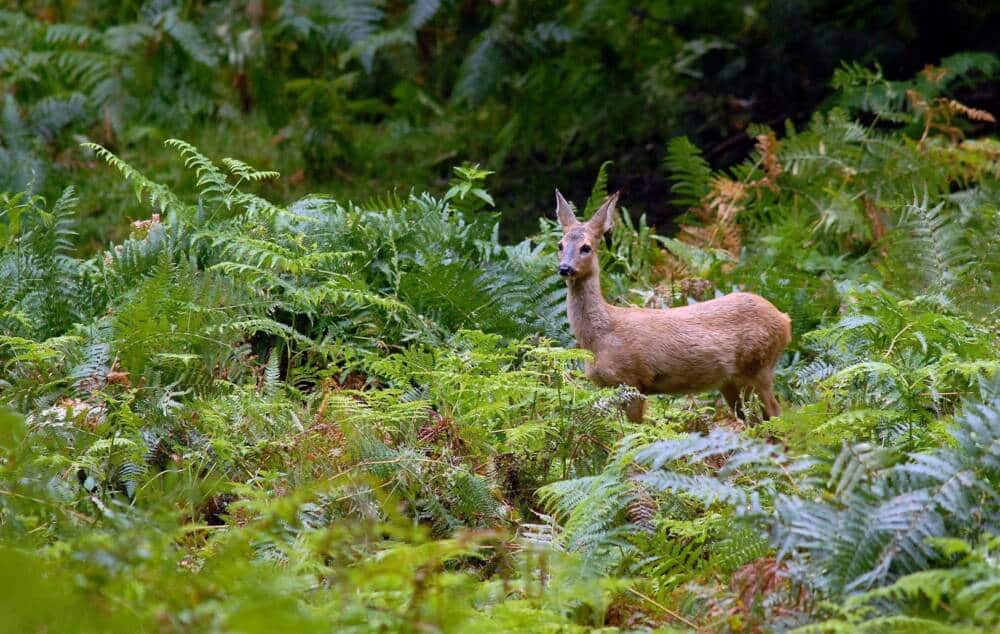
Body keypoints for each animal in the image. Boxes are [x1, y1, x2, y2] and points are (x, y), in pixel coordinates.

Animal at [556, 190, 788, 422]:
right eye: (560, 245)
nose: (564, 268)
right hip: (731, 381)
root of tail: (785, 320)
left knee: (776, 415)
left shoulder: (634, 380)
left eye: (586, 247)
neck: (599, 338)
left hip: (758, 367)